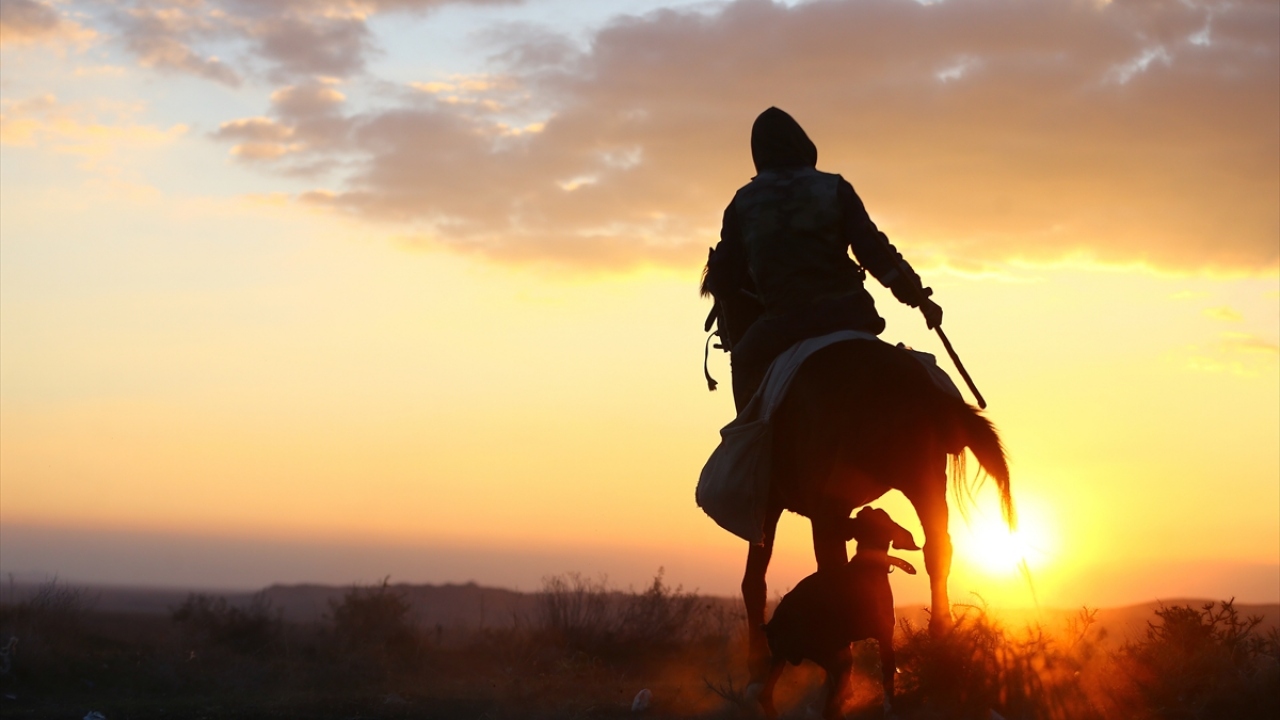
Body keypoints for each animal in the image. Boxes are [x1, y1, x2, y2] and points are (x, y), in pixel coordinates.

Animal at [700, 252, 1014, 685]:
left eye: (717, 288)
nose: (725, 336)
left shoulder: (768, 505)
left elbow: (753, 581)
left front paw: (755, 660)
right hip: (924, 482)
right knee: (938, 550)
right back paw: (939, 640)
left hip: (831, 506)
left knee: (831, 567)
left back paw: (840, 660)